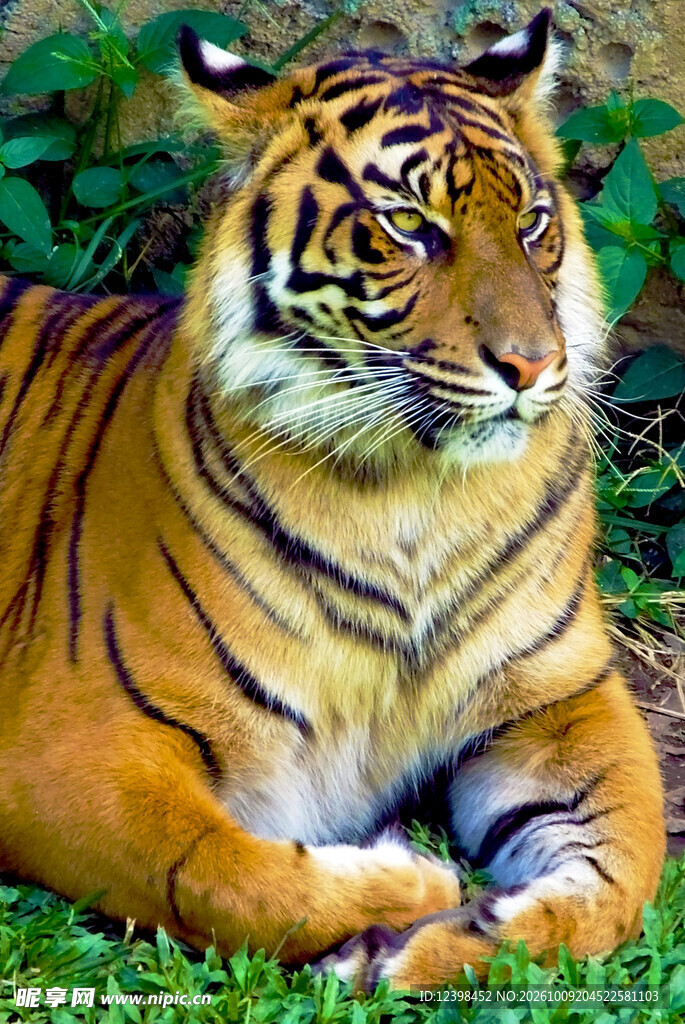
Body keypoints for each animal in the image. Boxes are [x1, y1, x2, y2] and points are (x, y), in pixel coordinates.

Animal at [0, 8, 665, 991]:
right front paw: (410, 887)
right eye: (409, 225)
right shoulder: (67, 752)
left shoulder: (561, 697)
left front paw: (474, 936)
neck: (415, 497)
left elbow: (626, 871)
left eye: (532, 221)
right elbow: (215, 872)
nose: (535, 364)